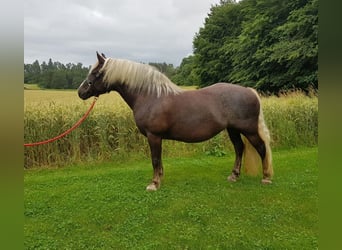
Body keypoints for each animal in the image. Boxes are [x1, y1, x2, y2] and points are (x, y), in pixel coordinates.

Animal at [77, 51, 272, 190]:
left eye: (96, 72)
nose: (81, 92)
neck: (150, 96)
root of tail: (248, 91)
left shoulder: (153, 136)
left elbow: (155, 159)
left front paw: (154, 184)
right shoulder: (157, 138)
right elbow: (159, 160)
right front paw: (159, 179)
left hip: (249, 130)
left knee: (261, 148)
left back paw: (266, 178)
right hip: (233, 130)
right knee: (240, 148)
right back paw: (234, 176)